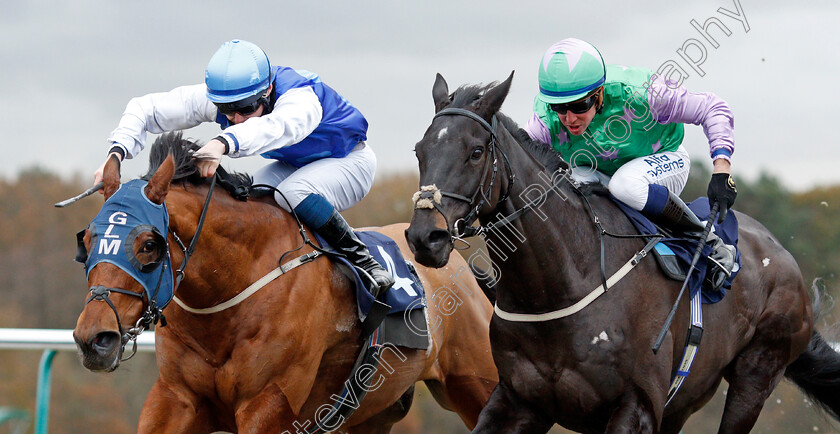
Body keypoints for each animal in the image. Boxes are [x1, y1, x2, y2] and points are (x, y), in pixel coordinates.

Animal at [72, 134, 498, 432]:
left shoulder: (268, 404)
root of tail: (455, 258)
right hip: (373, 414)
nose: (94, 338)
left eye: (147, 245)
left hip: (478, 383)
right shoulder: (175, 398)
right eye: (88, 242)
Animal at [402, 73, 840, 432]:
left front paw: (721, 185)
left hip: (756, 375)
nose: (426, 237)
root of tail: (781, 253)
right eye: (419, 150)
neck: (556, 287)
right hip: (683, 401)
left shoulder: (637, 405)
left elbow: (709, 107)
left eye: (476, 151)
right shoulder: (519, 401)